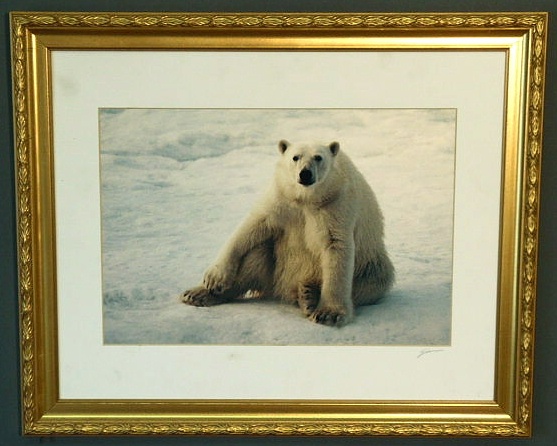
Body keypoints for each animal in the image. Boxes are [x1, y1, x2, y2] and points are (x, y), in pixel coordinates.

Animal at [180, 141, 394, 326]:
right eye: (295, 157)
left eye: (318, 157)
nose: (305, 174)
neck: (307, 199)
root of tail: (283, 287)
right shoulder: (282, 199)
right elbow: (252, 227)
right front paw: (213, 279)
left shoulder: (336, 204)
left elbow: (336, 247)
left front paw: (329, 314)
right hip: (274, 267)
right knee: (257, 254)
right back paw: (199, 294)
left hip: (370, 264)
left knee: (374, 279)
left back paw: (308, 294)